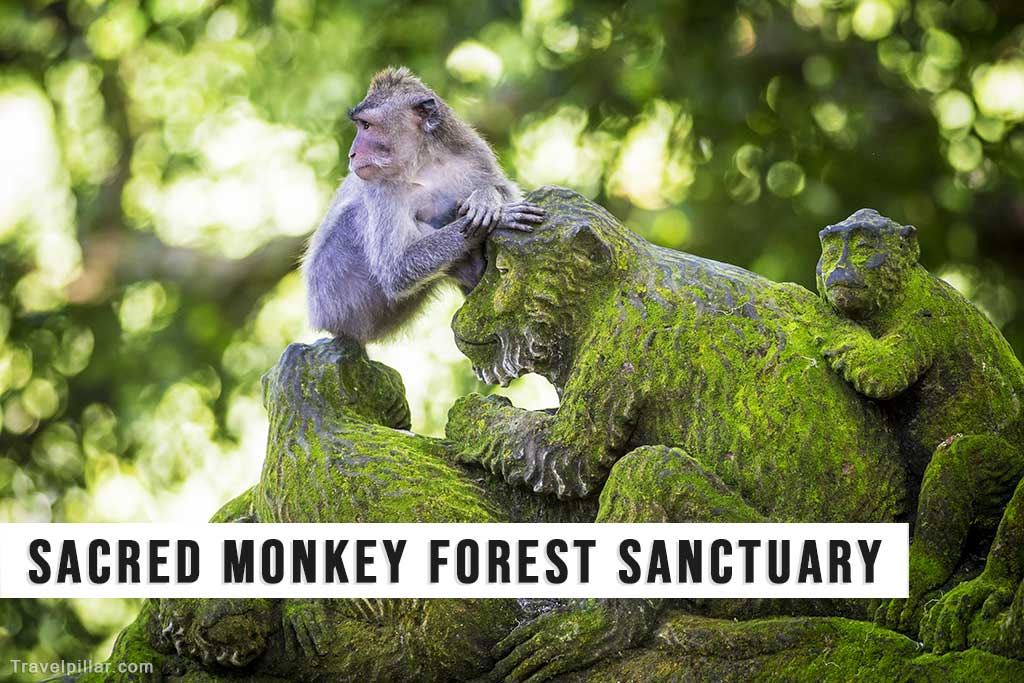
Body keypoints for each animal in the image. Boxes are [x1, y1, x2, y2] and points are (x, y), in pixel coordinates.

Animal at [303, 67, 545, 343]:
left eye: (366, 125)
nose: (352, 154)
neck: (423, 161)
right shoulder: (379, 188)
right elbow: (396, 268)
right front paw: (502, 215)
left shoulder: (473, 152)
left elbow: (505, 188)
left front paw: (486, 198)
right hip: (339, 296)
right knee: (360, 215)